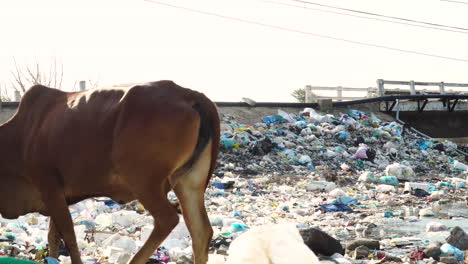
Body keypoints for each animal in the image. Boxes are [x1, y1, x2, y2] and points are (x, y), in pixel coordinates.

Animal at [0, 80, 220, 264]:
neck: (21, 134)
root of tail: (189, 94)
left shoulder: (48, 185)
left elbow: (69, 236)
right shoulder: (56, 195)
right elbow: (54, 235)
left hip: (143, 182)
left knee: (168, 220)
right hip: (189, 184)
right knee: (201, 232)